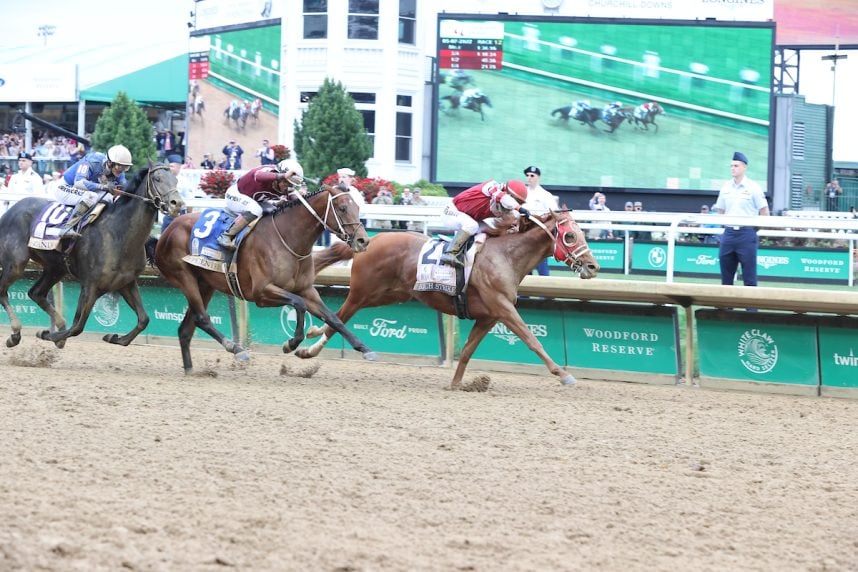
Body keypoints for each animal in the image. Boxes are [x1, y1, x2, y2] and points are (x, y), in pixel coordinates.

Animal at [0, 161, 182, 348]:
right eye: (157, 178)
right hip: (16, 263)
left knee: (35, 293)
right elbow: (77, 327)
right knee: (3, 291)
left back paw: (57, 324)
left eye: (176, 179)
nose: (177, 203)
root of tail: (10, 210)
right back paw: (15, 334)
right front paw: (48, 334)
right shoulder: (90, 286)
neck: (118, 234)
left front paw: (114, 337)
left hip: (56, 268)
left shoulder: (126, 283)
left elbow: (144, 319)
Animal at [153, 184, 378, 376]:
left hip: (205, 283)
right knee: (202, 318)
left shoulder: (307, 290)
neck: (289, 239)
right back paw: (238, 350)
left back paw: (191, 370)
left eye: (358, 207)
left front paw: (366, 349)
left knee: (186, 328)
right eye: (342, 208)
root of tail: (167, 230)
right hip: (184, 276)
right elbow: (299, 304)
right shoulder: (262, 293)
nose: (363, 241)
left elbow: (333, 318)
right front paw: (291, 343)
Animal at [304, 211, 600, 388]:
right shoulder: (503, 308)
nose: (593, 266)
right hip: (363, 290)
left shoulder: (489, 316)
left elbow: (468, 349)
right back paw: (310, 349)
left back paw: (312, 336)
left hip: (389, 294)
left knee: (340, 316)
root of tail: (371, 240)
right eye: (570, 236)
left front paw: (457, 383)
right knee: (340, 316)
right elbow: (531, 339)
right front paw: (564, 374)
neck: (505, 255)